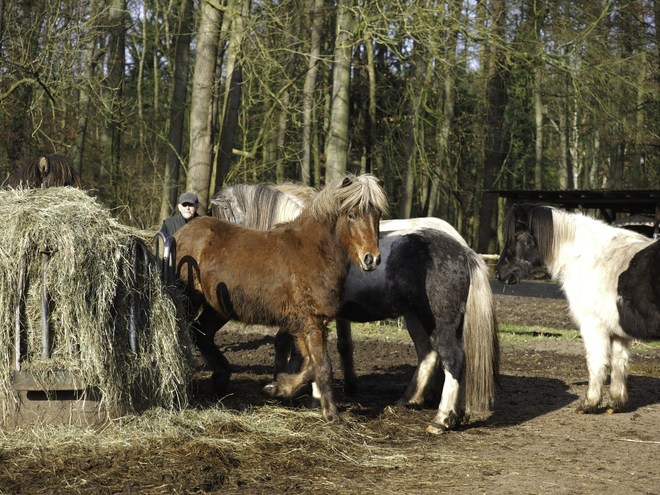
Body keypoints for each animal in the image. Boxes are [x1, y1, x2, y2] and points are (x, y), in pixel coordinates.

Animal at [174, 174, 386, 422]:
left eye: (377, 214)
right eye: (351, 214)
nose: (372, 259)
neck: (314, 251)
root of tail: (181, 234)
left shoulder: (307, 324)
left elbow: (308, 364)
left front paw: (278, 388)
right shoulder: (312, 321)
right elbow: (323, 366)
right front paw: (332, 414)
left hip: (217, 308)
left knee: (202, 333)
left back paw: (220, 380)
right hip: (189, 300)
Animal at [498, 203, 656, 416]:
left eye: (516, 235)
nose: (499, 272)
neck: (592, 258)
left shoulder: (592, 325)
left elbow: (596, 362)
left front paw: (589, 404)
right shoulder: (618, 331)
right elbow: (619, 363)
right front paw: (616, 403)